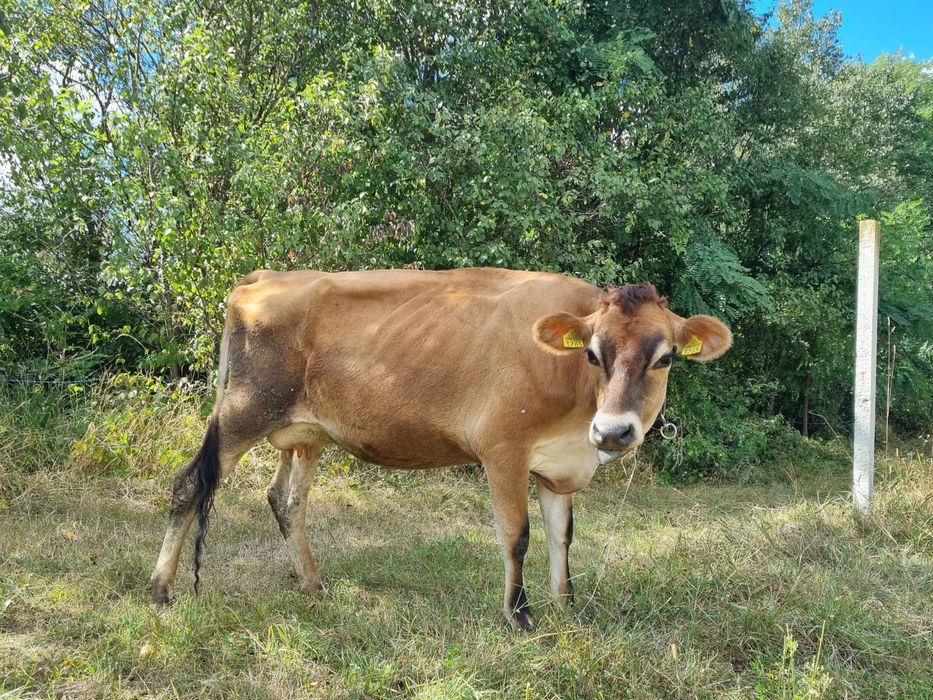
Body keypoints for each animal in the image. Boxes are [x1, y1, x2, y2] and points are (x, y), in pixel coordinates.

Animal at [148, 268, 732, 631]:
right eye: (591, 353)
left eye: (665, 358)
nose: (612, 432)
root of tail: (265, 277)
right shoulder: (503, 450)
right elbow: (517, 536)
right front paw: (519, 615)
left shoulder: (559, 464)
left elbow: (561, 538)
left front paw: (568, 605)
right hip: (243, 409)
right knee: (189, 484)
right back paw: (160, 589)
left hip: (306, 433)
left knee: (286, 500)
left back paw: (313, 585)